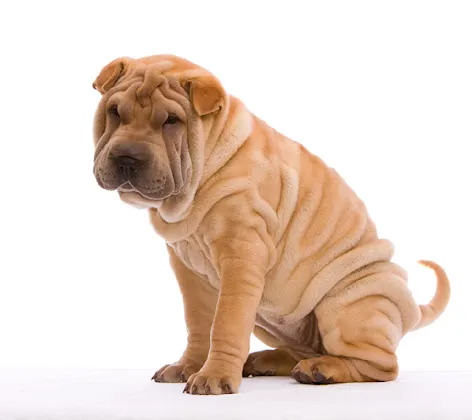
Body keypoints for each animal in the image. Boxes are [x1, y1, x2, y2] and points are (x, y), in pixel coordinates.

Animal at [91, 54, 450, 396]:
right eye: (115, 112)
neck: (205, 164)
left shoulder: (242, 257)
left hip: (349, 303)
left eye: (171, 121)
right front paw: (188, 366)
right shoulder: (189, 270)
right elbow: (199, 322)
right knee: (303, 349)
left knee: (381, 365)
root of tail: (411, 309)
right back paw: (267, 361)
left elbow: (226, 323)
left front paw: (214, 377)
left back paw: (322, 369)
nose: (127, 158)